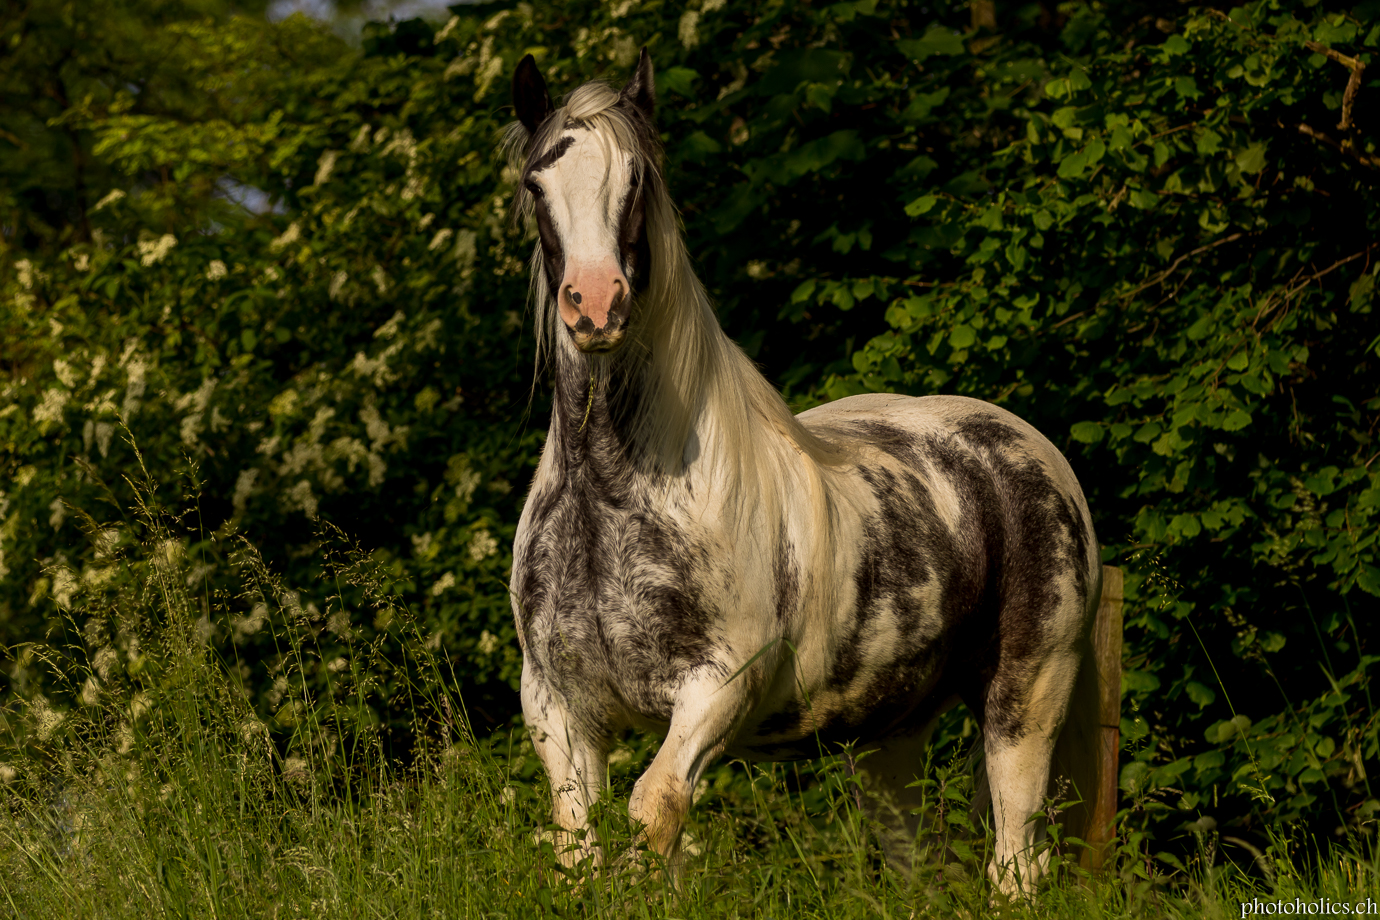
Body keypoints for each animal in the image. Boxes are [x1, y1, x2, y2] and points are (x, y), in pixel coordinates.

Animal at [505, 46, 1098, 893]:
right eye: (535, 184)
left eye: (639, 178)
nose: (594, 305)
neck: (614, 499)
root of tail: (1032, 451)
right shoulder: (559, 711)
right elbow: (579, 848)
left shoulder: (719, 689)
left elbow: (654, 810)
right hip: (887, 740)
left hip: (1026, 700)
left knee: (1015, 858)